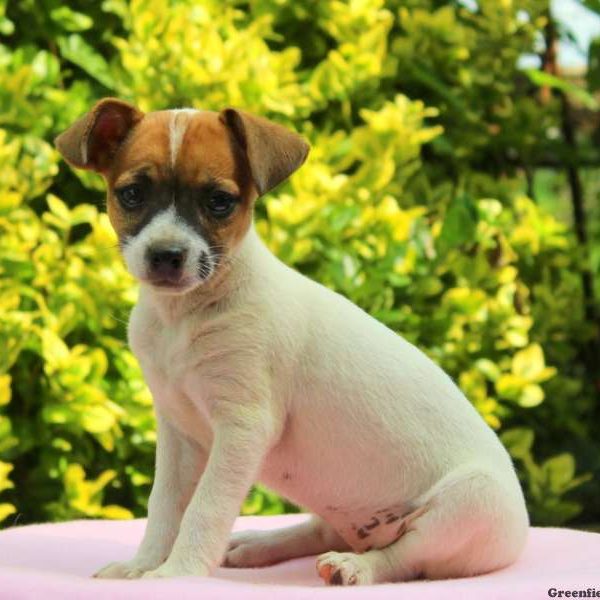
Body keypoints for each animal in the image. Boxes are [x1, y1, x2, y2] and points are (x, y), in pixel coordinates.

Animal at [54, 99, 528, 584]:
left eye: (219, 202)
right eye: (132, 194)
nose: (166, 255)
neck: (185, 316)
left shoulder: (243, 428)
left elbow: (204, 509)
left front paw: (177, 574)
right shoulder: (178, 432)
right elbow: (164, 506)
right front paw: (142, 565)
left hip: (468, 505)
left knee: (401, 556)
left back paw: (353, 567)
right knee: (321, 531)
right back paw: (257, 545)